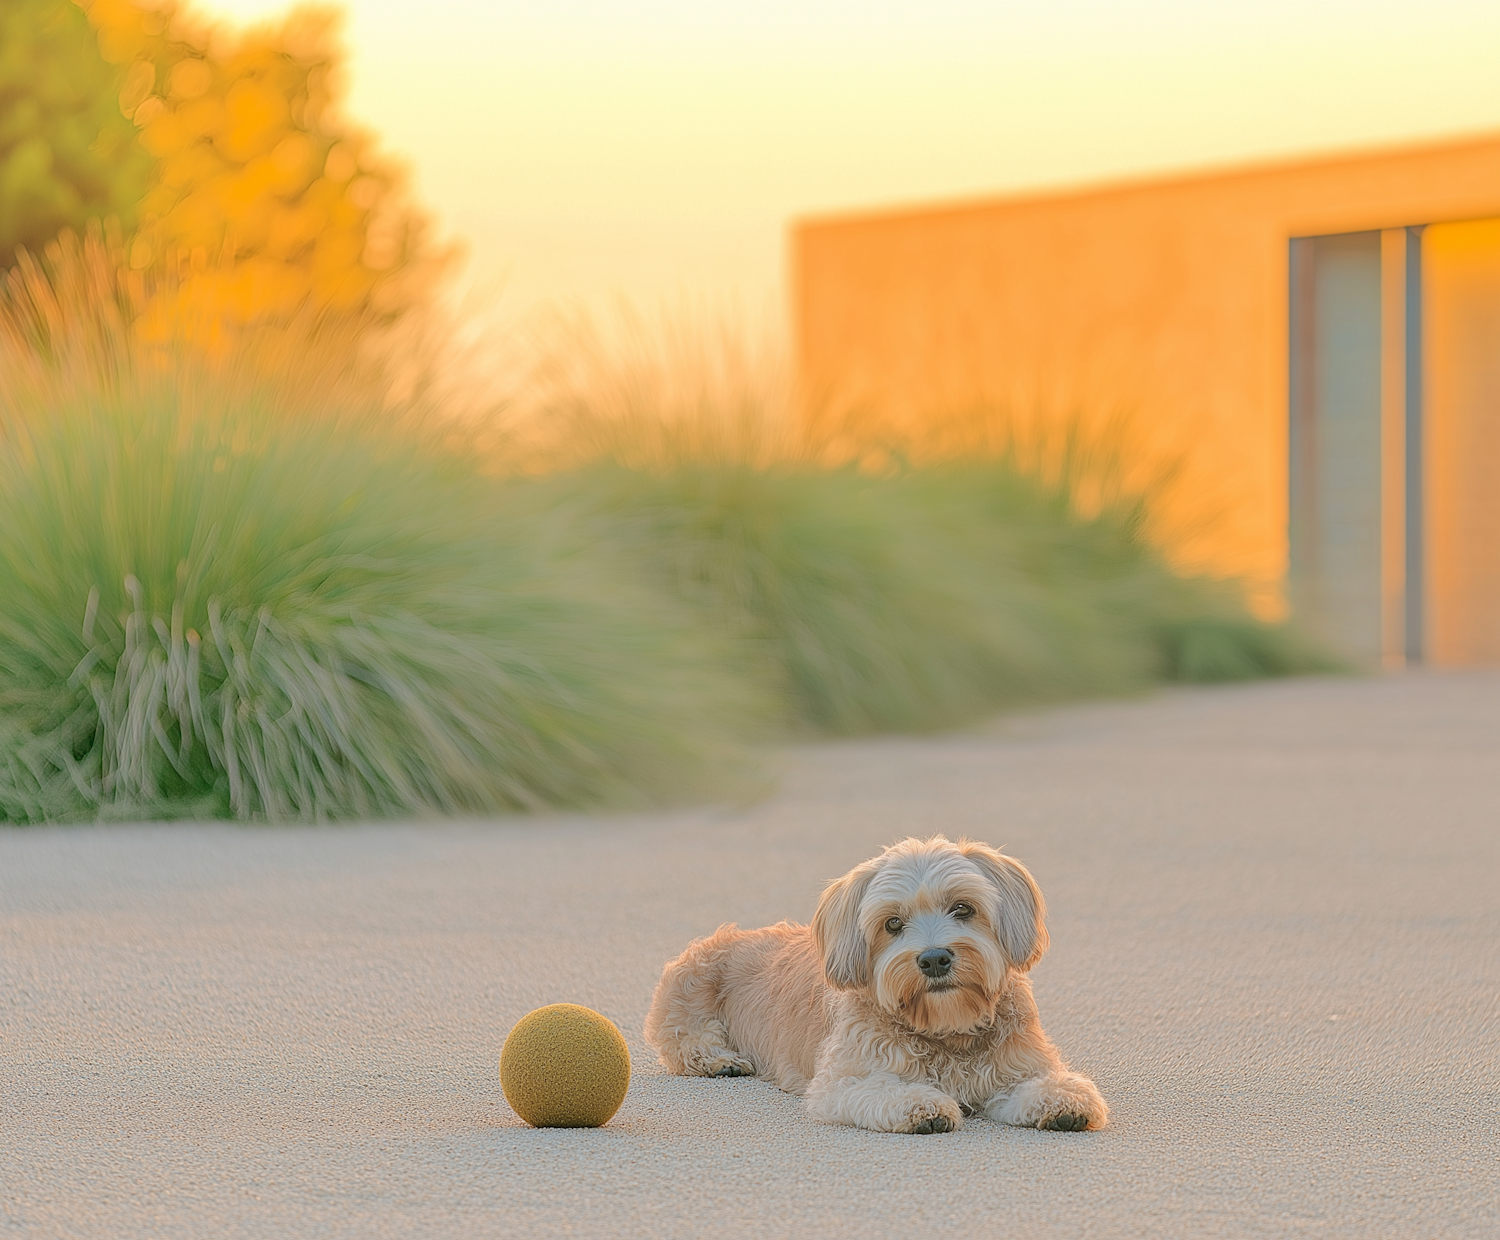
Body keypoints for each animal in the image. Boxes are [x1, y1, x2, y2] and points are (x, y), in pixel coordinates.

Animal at [639, 833, 1110, 1133]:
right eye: (893, 923)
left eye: (963, 908)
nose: (934, 959)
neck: (945, 1028)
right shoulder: (841, 1083)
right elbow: (885, 1091)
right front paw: (921, 1104)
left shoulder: (1015, 1069)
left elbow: (1037, 1085)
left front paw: (1063, 1100)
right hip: (688, 1001)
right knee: (686, 1044)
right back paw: (720, 1060)